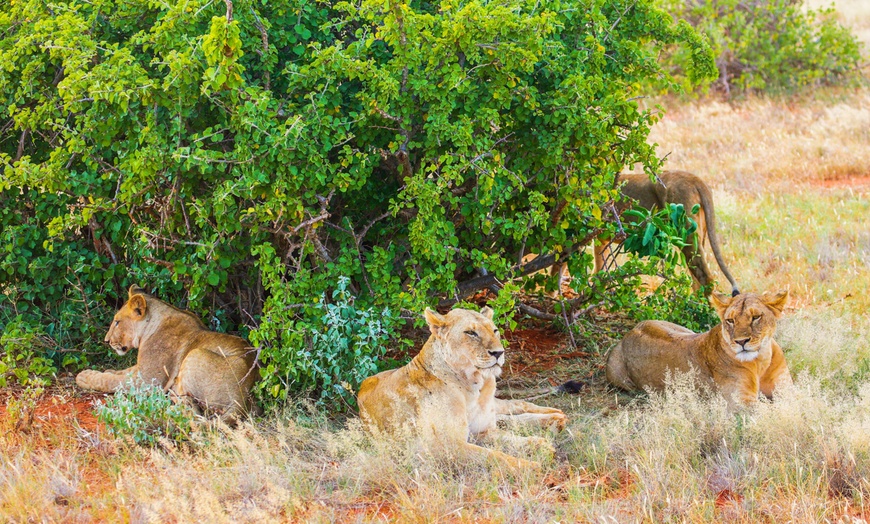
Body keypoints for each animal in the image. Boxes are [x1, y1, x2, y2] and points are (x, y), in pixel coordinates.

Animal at [77, 284, 258, 424]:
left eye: (117, 322)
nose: (107, 340)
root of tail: (241, 398)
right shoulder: (141, 368)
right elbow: (123, 372)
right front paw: (108, 371)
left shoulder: (149, 380)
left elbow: (112, 381)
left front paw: (85, 377)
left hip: (195, 353)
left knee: (191, 408)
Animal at [358, 304, 568, 468]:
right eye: (471, 333)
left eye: (495, 331)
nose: (499, 352)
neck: (473, 385)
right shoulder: (450, 446)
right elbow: (496, 456)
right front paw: (531, 466)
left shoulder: (481, 430)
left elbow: (509, 439)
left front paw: (540, 446)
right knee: (507, 417)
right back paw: (555, 421)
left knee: (517, 405)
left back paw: (557, 416)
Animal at [604, 290, 792, 406]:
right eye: (730, 320)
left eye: (756, 317)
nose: (741, 341)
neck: (761, 360)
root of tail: (629, 332)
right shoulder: (740, 403)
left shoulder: (785, 387)